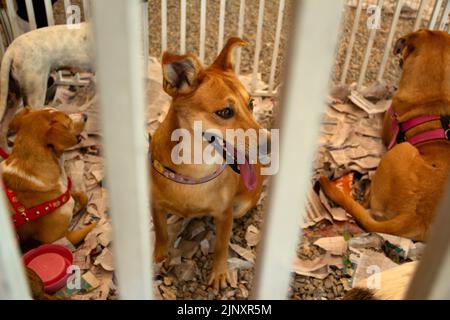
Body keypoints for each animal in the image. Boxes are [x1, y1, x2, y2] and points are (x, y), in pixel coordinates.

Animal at [150, 38, 268, 290]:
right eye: (224, 112)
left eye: (251, 104)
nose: (270, 145)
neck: (194, 166)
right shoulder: (155, 205)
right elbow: (161, 234)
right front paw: (158, 257)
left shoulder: (225, 213)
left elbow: (221, 246)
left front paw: (220, 273)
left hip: (242, 206)